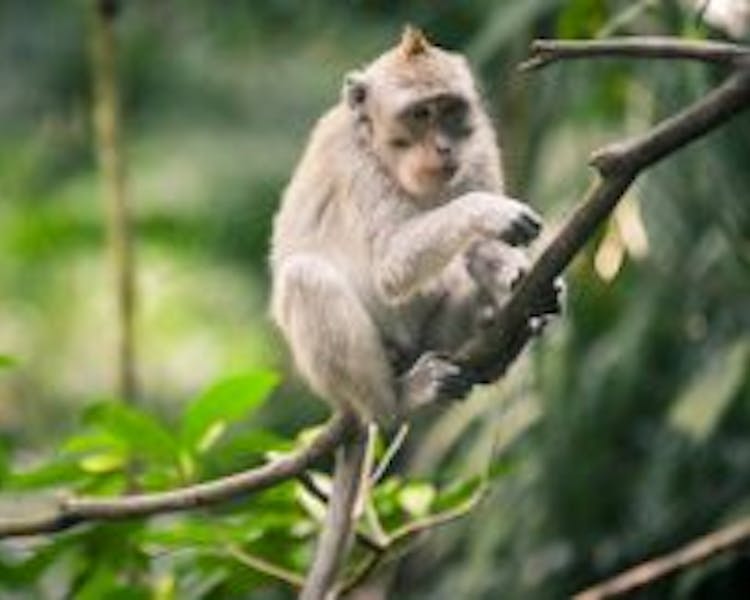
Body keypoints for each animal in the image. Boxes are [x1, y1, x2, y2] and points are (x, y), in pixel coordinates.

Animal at [269, 27, 562, 599]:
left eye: (449, 111)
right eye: (419, 115)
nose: (444, 147)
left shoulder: (480, 143)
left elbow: (477, 249)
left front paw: (515, 274)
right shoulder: (354, 158)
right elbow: (391, 262)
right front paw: (489, 212)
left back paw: (505, 336)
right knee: (306, 278)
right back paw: (397, 402)